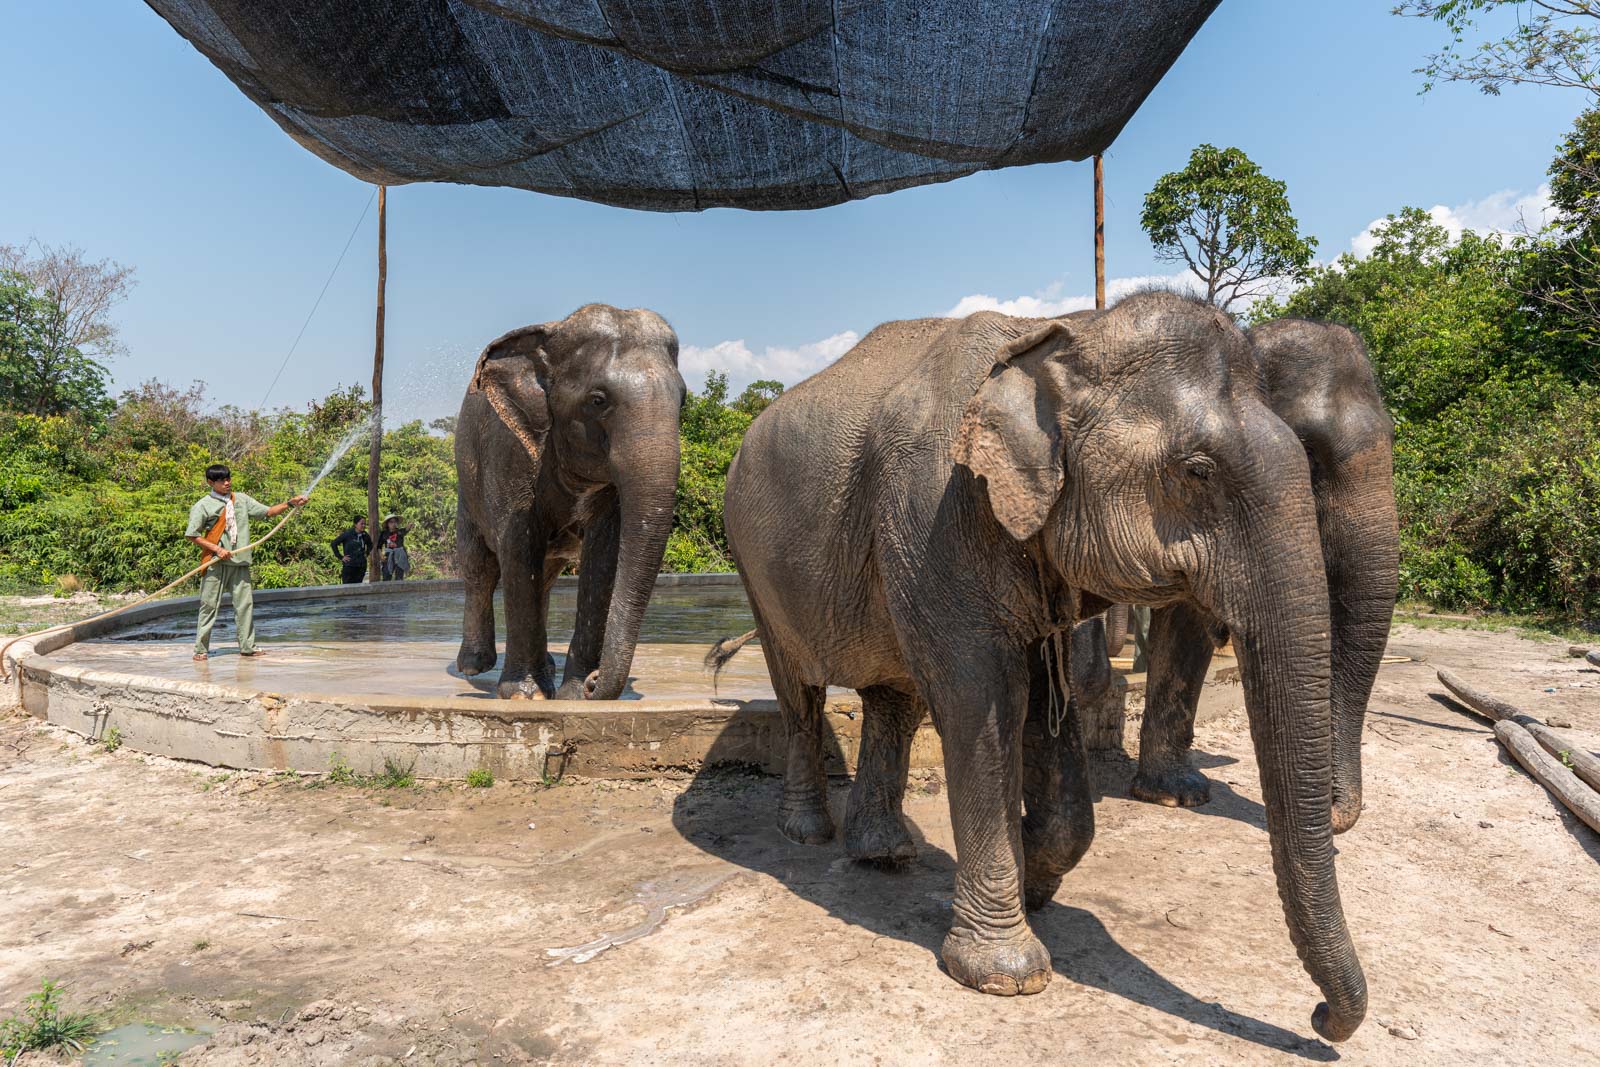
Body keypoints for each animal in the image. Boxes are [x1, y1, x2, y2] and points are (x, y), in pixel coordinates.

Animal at [460, 302, 691, 700]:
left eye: (683, 398)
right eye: (597, 400)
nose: (594, 682)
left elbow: (605, 554)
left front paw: (570, 694)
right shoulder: (509, 451)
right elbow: (518, 546)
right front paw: (526, 695)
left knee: (544, 576)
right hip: (465, 478)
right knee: (479, 563)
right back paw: (474, 665)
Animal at [720, 292, 1369, 1043]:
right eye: (1197, 470)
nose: (1320, 1018)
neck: (1066, 332)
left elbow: (1039, 698)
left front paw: (1035, 872)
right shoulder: (936, 507)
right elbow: (981, 696)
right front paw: (1007, 973)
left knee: (893, 699)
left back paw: (885, 852)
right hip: (753, 562)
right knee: (798, 691)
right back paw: (807, 831)